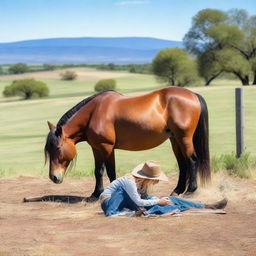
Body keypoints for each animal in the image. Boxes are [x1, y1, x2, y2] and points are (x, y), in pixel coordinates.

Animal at [45, 87, 211, 201]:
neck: (94, 113)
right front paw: (95, 194)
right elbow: (98, 171)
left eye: (57, 148)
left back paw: (190, 190)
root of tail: (193, 95)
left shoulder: (106, 147)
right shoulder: (96, 148)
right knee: (183, 164)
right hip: (175, 139)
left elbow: (110, 171)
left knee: (191, 161)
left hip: (184, 138)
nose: (53, 177)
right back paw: (177, 190)